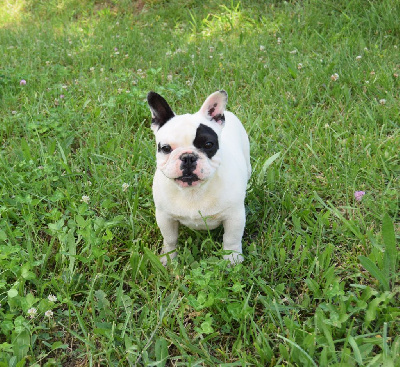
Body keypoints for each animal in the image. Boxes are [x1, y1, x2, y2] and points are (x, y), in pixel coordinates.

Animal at [147, 90, 252, 266]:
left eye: (208, 145)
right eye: (166, 148)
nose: (188, 157)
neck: (193, 191)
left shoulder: (234, 216)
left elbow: (231, 239)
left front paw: (232, 259)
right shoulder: (165, 217)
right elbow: (170, 239)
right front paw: (168, 258)